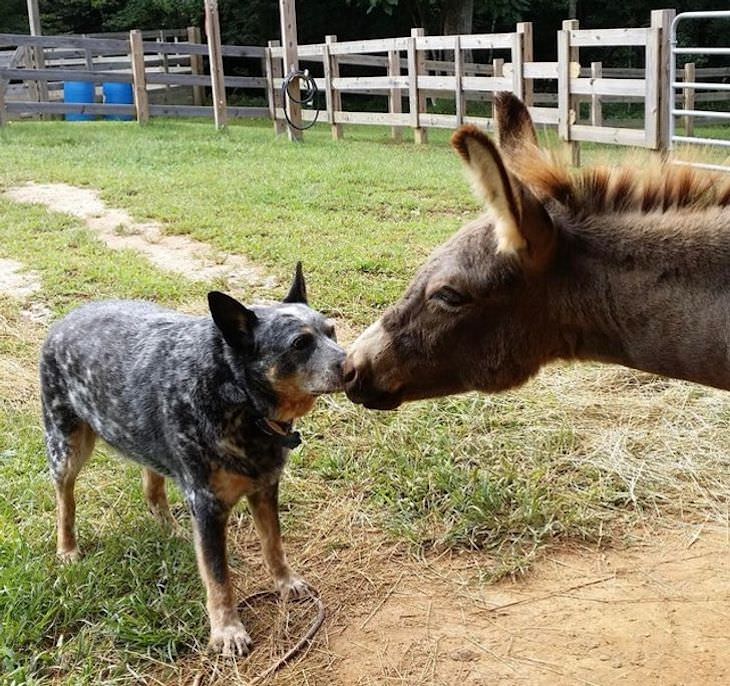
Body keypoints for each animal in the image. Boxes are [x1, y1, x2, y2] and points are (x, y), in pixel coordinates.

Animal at [39, 264, 344, 656]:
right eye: (300, 344)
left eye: (331, 330)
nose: (351, 363)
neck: (237, 396)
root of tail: (65, 319)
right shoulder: (207, 505)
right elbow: (218, 577)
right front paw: (227, 630)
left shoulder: (264, 486)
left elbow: (273, 544)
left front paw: (286, 582)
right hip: (66, 446)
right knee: (66, 501)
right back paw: (67, 548)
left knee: (151, 487)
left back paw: (171, 529)